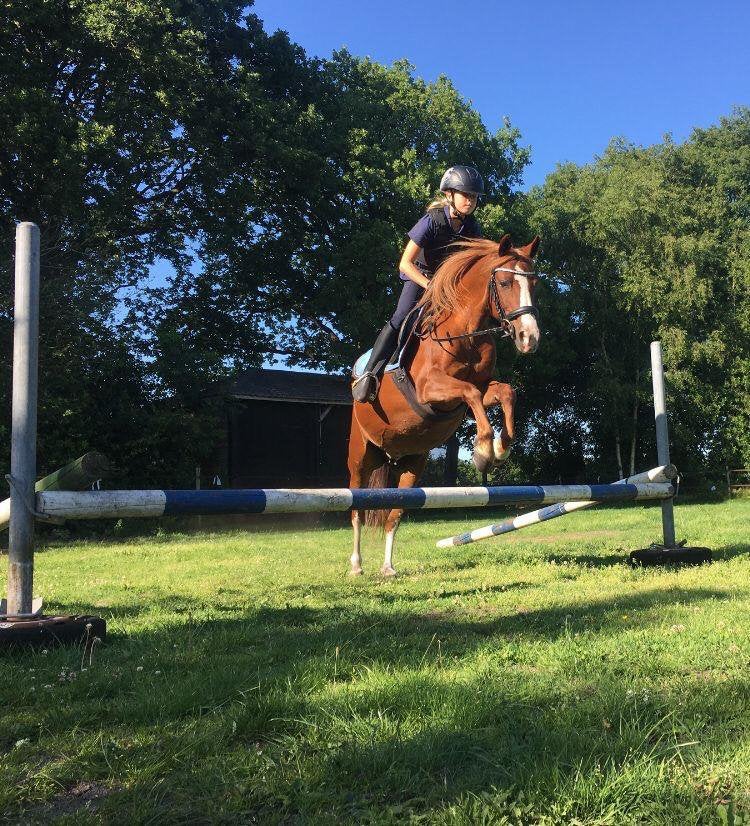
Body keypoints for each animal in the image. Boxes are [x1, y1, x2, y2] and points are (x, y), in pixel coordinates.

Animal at [347, 233, 542, 576]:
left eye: (534, 283)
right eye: (505, 283)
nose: (529, 338)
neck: (465, 331)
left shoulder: (479, 389)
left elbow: (505, 392)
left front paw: (501, 448)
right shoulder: (431, 390)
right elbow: (471, 393)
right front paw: (483, 451)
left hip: (412, 463)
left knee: (394, 514)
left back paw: (388, 567)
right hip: (360, 455)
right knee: (356, 508)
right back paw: (356, 566)